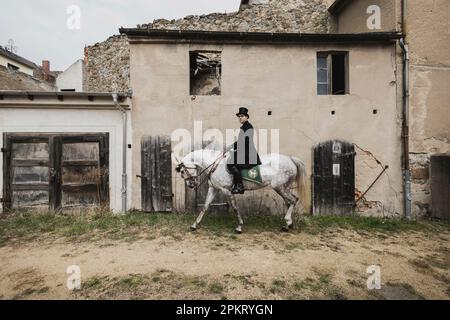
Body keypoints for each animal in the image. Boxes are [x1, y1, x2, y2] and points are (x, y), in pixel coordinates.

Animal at [175, 149, 306, 234]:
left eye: (182, 171)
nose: (191, 185)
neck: (216, 165)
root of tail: (290, 159)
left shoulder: (227, 191)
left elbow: (235, 208)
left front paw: (239, 227)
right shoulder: (214, 189)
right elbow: (205, 207)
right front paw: (194, 225)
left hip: (280, 187)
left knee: (293, 200)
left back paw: (287, 224)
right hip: (284, 187)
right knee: (292, 201)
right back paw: (288, 224)